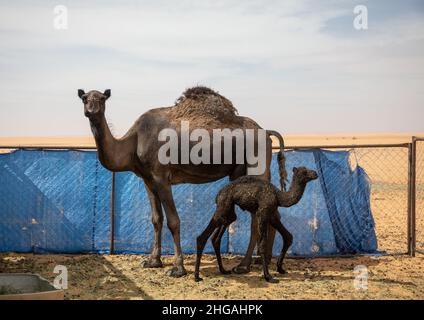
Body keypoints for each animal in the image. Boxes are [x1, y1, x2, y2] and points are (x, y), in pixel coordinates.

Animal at [78, 86, 286, 276]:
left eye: (102, 98)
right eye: (84, 98)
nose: (91, 110)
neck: (134, 141)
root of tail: (266, 132)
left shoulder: (161, 177)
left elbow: (173, 221)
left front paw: (178, 268)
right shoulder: (148, 180)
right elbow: (156, 219)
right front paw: (153, 261)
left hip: (257, 165)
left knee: (259, 215)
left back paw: (244, 265)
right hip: (241, 172)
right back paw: (264, 260)